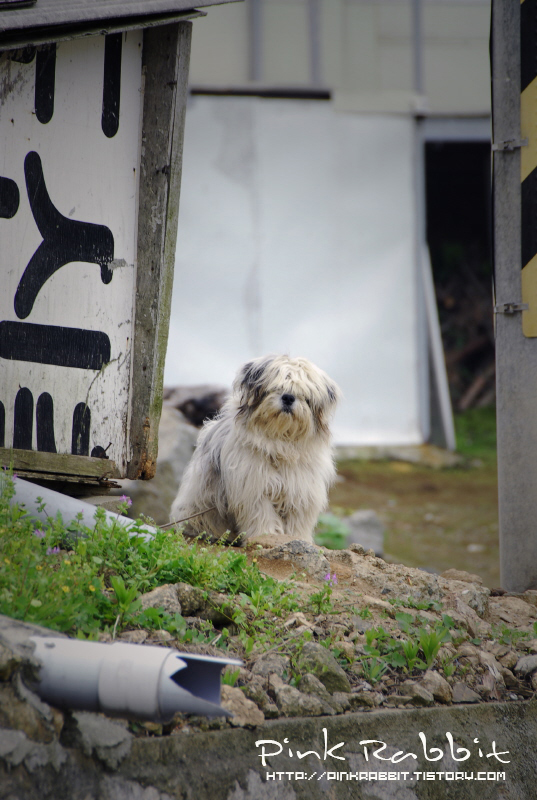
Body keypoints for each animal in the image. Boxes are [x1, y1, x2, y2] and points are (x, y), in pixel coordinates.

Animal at [170, 356, 342, 544]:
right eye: (276, 387)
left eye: (304, 394)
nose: (288, 398)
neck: (280, 443)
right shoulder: (254, 487)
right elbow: (262, 514)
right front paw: (266, 535)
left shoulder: (300, 491)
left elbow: (297, 520)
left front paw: (296, 538)